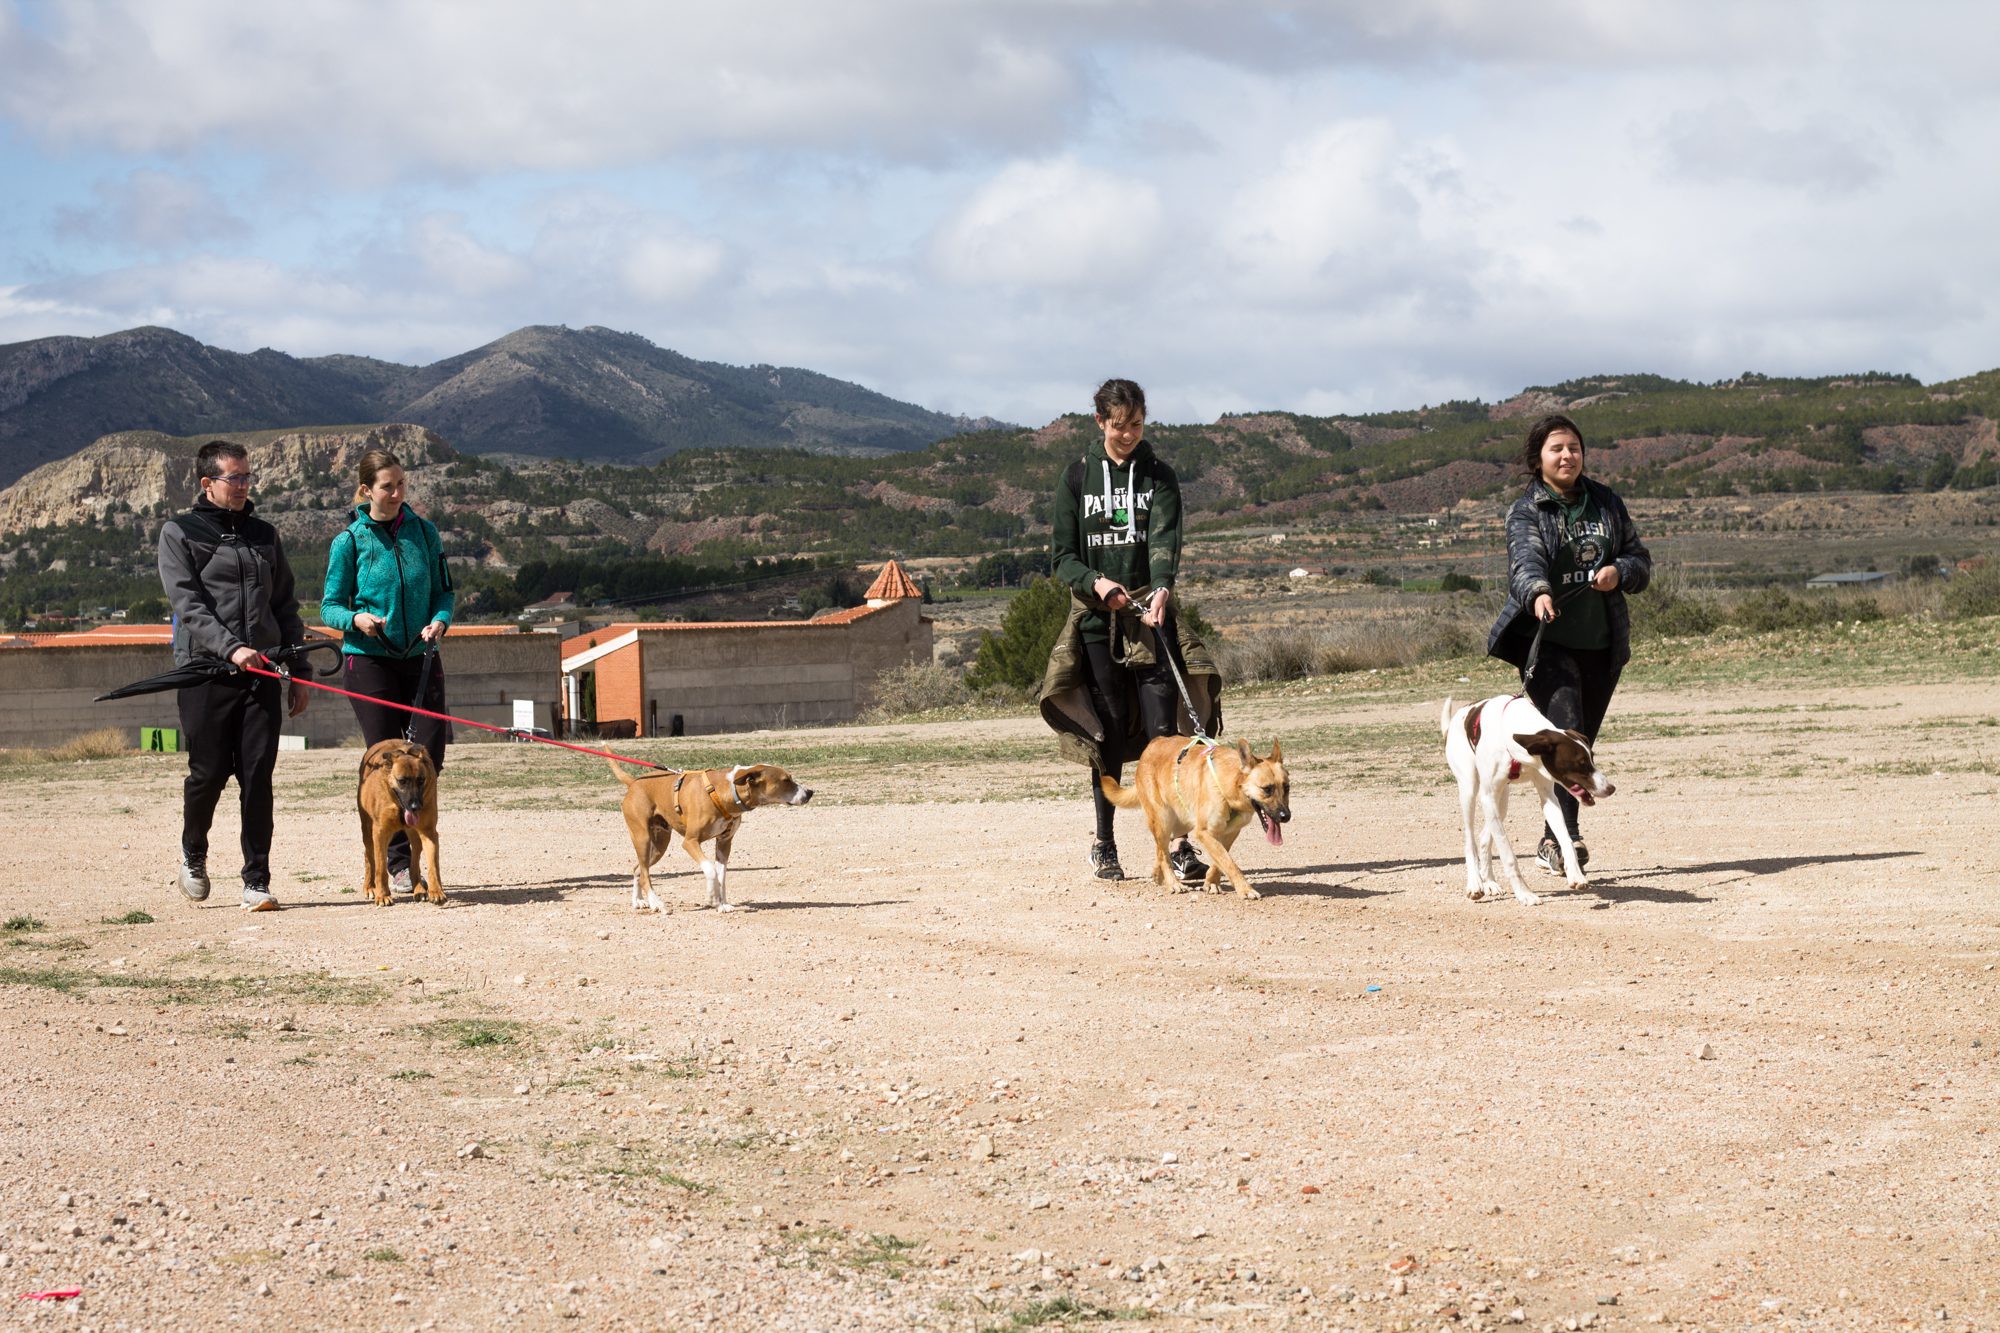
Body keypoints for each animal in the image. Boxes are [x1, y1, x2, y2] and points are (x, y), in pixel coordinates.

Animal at [356, 736, 442, 904]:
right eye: (402, 781)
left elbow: (433, 866)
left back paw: (419, 889)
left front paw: (436, 892)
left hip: (415, 836)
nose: (416, 806)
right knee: (369, 857)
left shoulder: (429, 832)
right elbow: (381, 868)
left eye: (421, 780)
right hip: (367, 832)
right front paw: (382, 895)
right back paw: (370, 887)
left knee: (414, 861)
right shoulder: (380, 833)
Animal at [600, 756, 812, 912]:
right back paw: (656, 903)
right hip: (642, 838)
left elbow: (722, 876)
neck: (723, 791)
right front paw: (711, 896)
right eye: (786, 780)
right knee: (644, 874)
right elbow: (710, 869)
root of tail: (634, 782)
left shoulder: (724, 843)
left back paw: (638, 901)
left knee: (637, 869)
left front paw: (722, 903)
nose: (810, 792)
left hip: (660, 844)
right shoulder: (690, 841)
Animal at [1104, 736, 1288, 892]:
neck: (1228, 785)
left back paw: (1158, 875)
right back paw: (1173, 883)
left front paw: (1211, 883)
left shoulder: (1229, 833)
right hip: (1163, 822)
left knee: (1160, 851)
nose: (1286, 816)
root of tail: (1150, 746)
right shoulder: (1204, 832)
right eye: (1267, 789)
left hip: (1180, 823)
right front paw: (1245, 889)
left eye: (1287, 787)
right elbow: (1228, 862)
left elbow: (1220, 860)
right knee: (1163, 854)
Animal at [1440, 696, 1608, 904]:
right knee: (1470, 839)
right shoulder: (1487, 797)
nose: (1610, 788)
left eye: (1592, 758)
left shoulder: (1548, 796)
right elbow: (1508, 855)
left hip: (1502, 801)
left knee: (1484, 837)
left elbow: (1566, 839)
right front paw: (1524, 893)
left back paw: (1489, 882)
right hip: (1470, 788)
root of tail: (1456, 719)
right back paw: (1475, 884)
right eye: (1581, 763)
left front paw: (1575, 874)